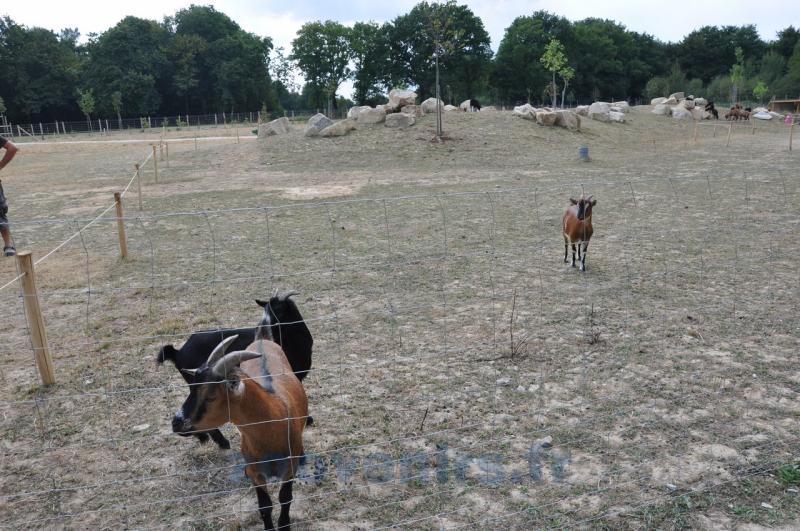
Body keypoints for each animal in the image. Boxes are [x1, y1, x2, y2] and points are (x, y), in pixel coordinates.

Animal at [158, 292, 313, 448]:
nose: (258, 328)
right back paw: (221, 442)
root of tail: (178, 352)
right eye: (266, 310)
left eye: (280, 310)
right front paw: (308, 419)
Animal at [173, 335, 308, 530]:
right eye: (191, 390)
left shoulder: (288, 469)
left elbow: (285, 499)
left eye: (211, 397)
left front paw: (284, 525)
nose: (176, 422)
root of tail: (262, 339)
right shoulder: (256, 473)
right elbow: (265, 506)